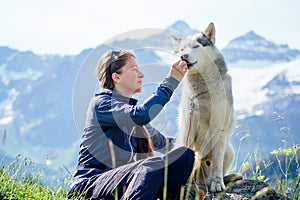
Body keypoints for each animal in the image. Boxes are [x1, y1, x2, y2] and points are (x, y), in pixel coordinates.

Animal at [172, 22, 236, 191]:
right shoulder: (189, 123)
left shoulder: (219, 127)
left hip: (229, 151)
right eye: (182, 49)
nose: (183, 57)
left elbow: (217, 162)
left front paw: (217, 182)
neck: (203, 91)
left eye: (196, 46)